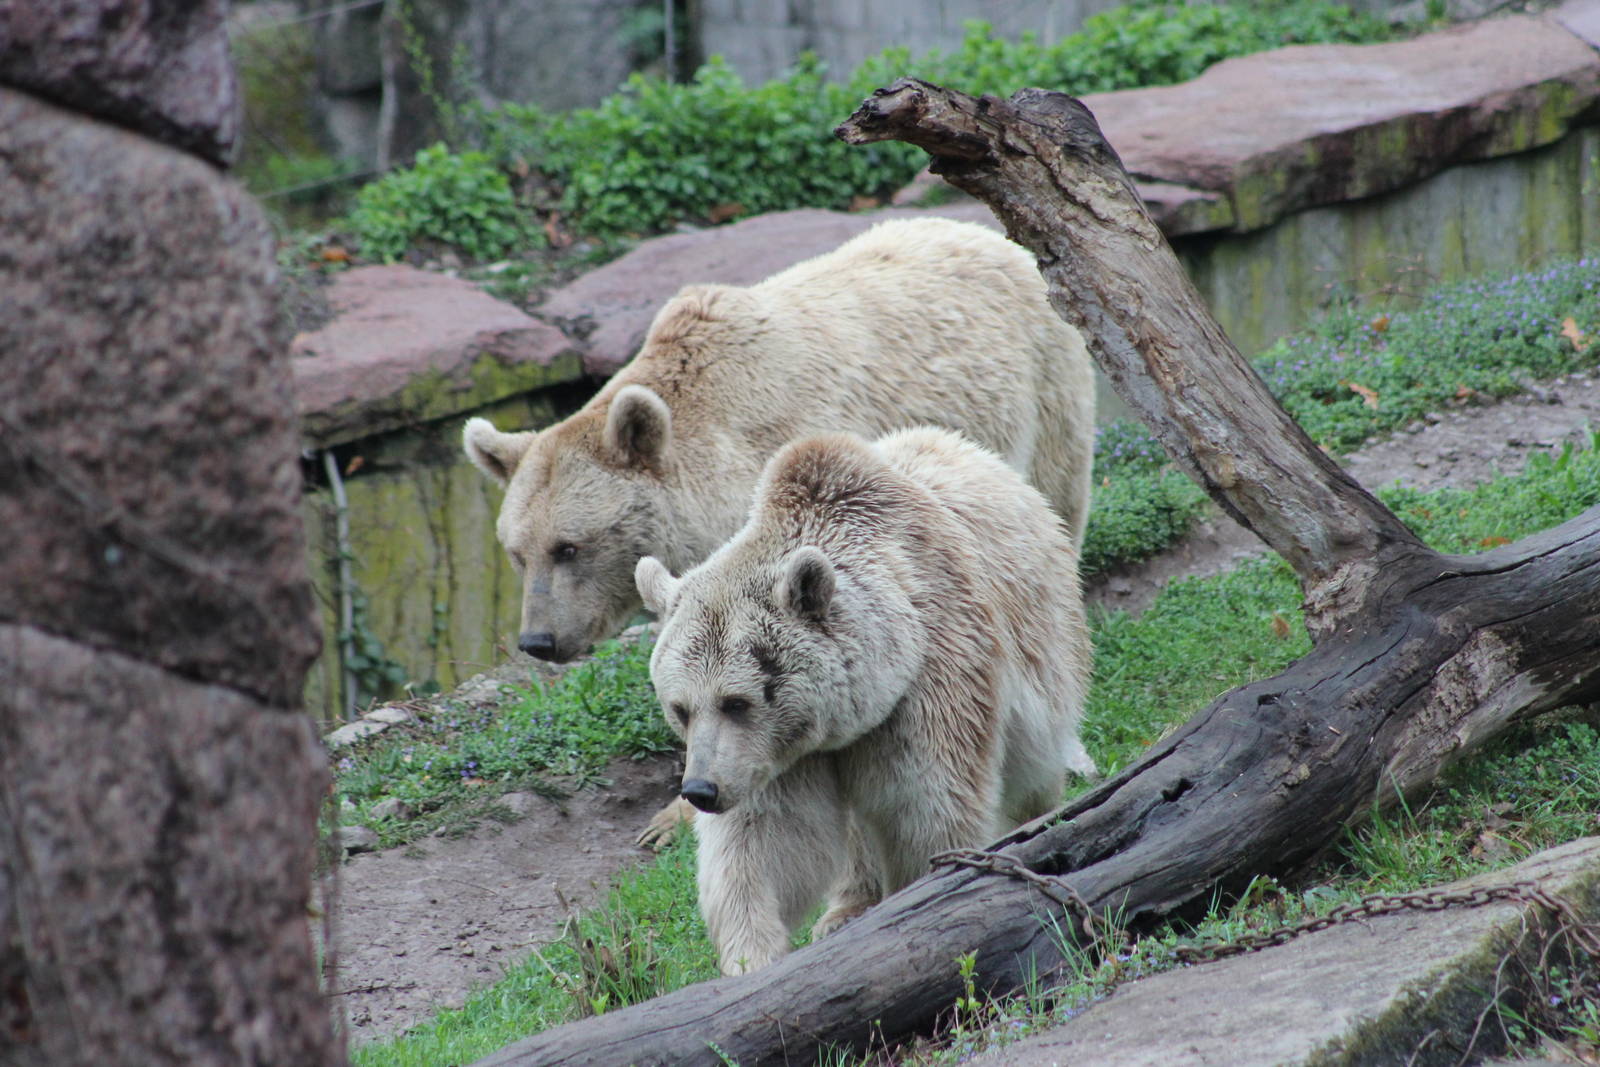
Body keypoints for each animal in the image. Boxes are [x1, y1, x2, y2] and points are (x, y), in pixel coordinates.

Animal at [462, 216, 1097, 845]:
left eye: (569, 547)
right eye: (517, 553)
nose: (538, 641)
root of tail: (982, 232)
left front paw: (672, 818)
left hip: (1045, 383)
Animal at [635, 427, 1094, 975]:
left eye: (737, 701)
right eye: (680, 708)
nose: (700, 790)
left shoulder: (931, 673)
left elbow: (924, 801)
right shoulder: (779, 757)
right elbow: (765, 839)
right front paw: (753, 955)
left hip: (1044, 639)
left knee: (1032, 768)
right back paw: (846, 909)